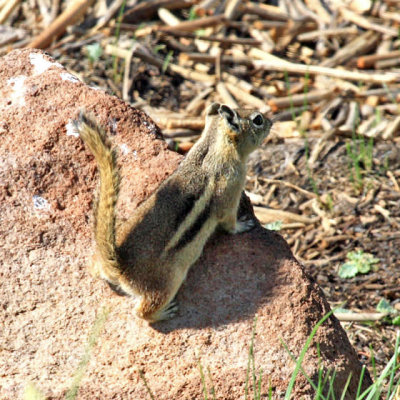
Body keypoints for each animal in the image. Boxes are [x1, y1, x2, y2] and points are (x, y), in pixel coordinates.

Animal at [72, 104, 272, 322]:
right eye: (258, 119)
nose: (272, 122)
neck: (214, 145)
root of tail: (118, 265)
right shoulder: (230, 197)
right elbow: (230, 223)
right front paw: (244, 224)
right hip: (169, 282)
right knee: (142, 312)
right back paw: (164, 312)